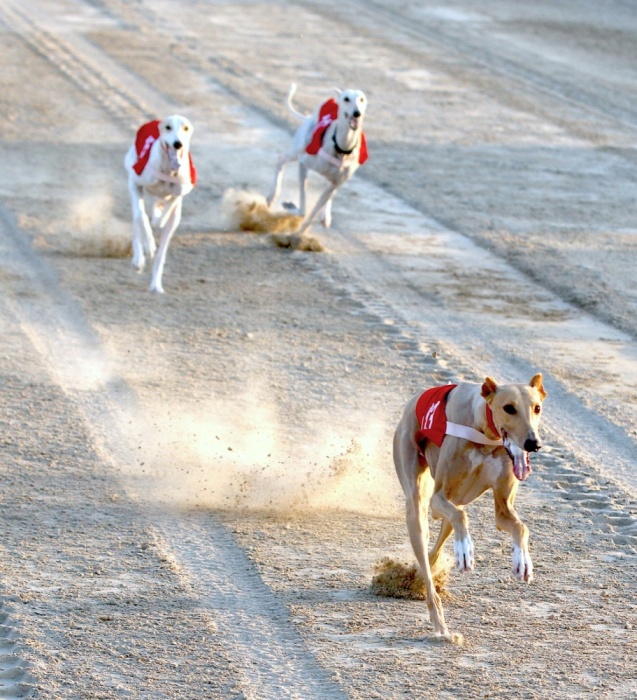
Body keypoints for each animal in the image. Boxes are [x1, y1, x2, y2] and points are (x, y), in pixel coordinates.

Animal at [123, 116, 195, 292]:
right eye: (168, 127)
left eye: (186, 128)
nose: (178, 143)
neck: (168, 170)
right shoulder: (134, 183)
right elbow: (141, 217)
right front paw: (148, 244)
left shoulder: (178, 194)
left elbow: (165, 213)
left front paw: (158, 217)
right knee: (136, 219)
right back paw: (138, 258)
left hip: (174, 220)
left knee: (161, 251)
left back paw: (155, 284)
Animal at [266, 82, 368, 235]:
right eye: (346, 99)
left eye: (361, 99)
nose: (357, 113)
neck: (341, 148)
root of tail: (310, 116)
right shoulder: (304, 163)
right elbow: (302, 210)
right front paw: (290, 206)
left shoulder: (336, 182)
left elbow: (314, 211)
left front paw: (301, 232)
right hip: (298, 150)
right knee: (281, 159)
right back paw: (272, 195)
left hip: (336, 181)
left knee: (330, 195)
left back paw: (325, 217)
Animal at [392, 374, 548, 644]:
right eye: (509, 408)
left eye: (536, 408)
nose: (533, 444)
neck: (487, 435)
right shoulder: (438, 497)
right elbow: (460, 515)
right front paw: (465, 551)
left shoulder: (502, 510)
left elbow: (521, 527)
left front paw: (522, 561)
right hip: (417, 502)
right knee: (430, 531)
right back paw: (440, 624)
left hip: (458, 498)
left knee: (435, 549)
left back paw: (415, 578)